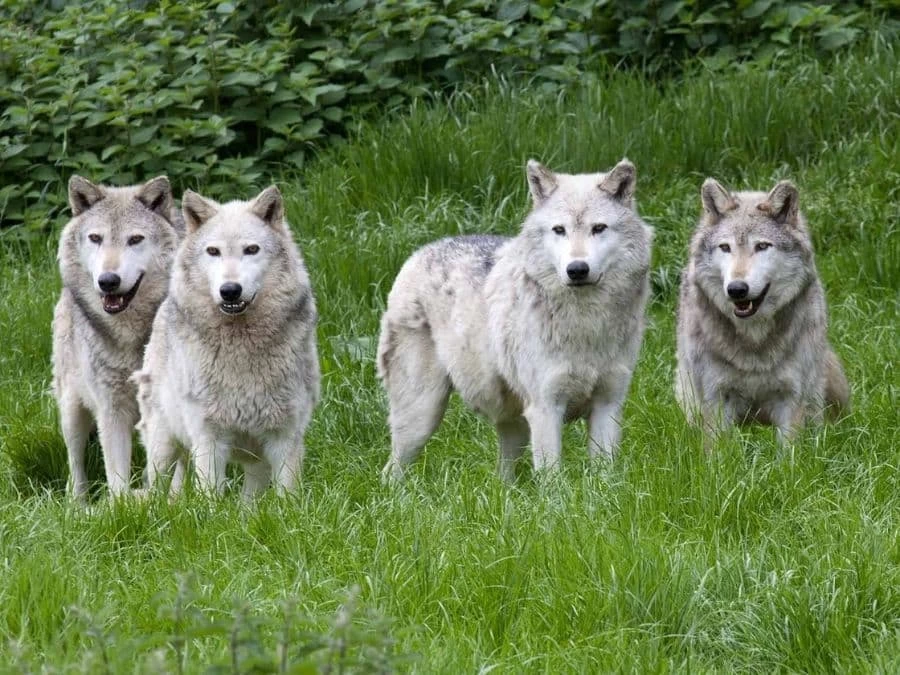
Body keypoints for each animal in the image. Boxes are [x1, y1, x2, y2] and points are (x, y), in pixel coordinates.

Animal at [52, 175, 183, 498]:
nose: (108, 281)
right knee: (75, 465)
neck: (131, 337)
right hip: (72, 410)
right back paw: (78, 504)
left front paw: (178, 501)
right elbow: (117, 477)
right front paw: (122, 508)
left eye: (135, 240)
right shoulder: (111, 409)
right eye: (96, 238)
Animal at [134, 185, 320, 498]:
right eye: (213, 251)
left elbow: (288, 497)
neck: (240, 347)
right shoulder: (208, 437)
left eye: (251, 249)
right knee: (156, 491)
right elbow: (210, 496)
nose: (230, 290)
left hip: (255, 463)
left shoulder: (285, 437)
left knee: (249, 501)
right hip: (163, 447)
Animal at [377, 159, 653, 481]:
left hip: (513, 425)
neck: (587, 323)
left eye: (599, 228)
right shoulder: (546, 409)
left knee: (503, 477)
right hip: (421, 417)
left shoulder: (608, 406)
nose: (577, 269)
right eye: (559, 230)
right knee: (390, 472)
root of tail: (419, 252)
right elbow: (552, 479)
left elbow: (604, 477)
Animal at [675, 178, 850, 443]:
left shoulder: (791, 398)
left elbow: (789, 451)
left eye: (762, 246)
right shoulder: (716, 397)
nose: (737, 289)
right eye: (725, 247)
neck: (754, 339)